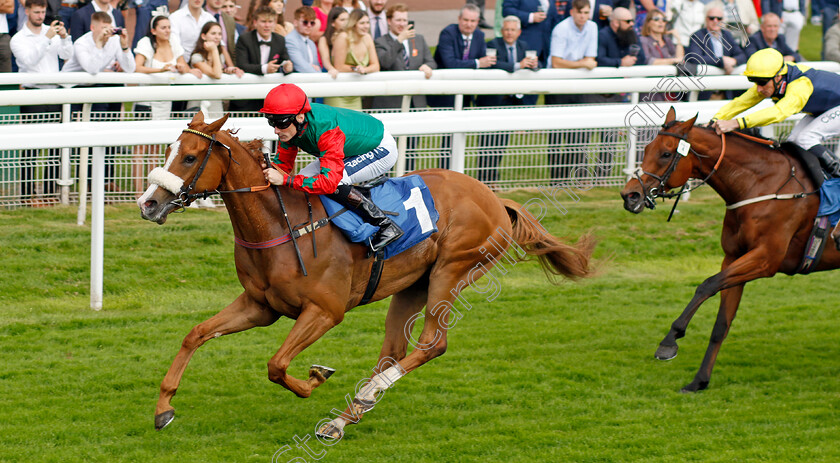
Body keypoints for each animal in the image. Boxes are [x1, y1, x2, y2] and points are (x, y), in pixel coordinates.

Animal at [139, 112, 596, 436]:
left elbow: (277, 364)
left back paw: (365, 397)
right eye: (169, 151)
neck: (280, 226)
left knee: (432, 344)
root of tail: (496, 200)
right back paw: (344, 418)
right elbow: (195, 334)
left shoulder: (325, 311)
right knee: (392, 351)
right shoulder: (260, 306)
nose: (148, 204)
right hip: (412, 285)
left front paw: (315, 377)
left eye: (190, 157)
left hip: (453, 271)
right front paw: (164, 409)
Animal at [616, 107, 840, 394]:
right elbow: (721, 324)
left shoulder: (766, 259)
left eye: (666, 153)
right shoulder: (734, 258)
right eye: (646, 149)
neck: (760, 184)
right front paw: (699, 380)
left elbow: (707, 285)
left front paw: (669, 341)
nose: (629, 195)